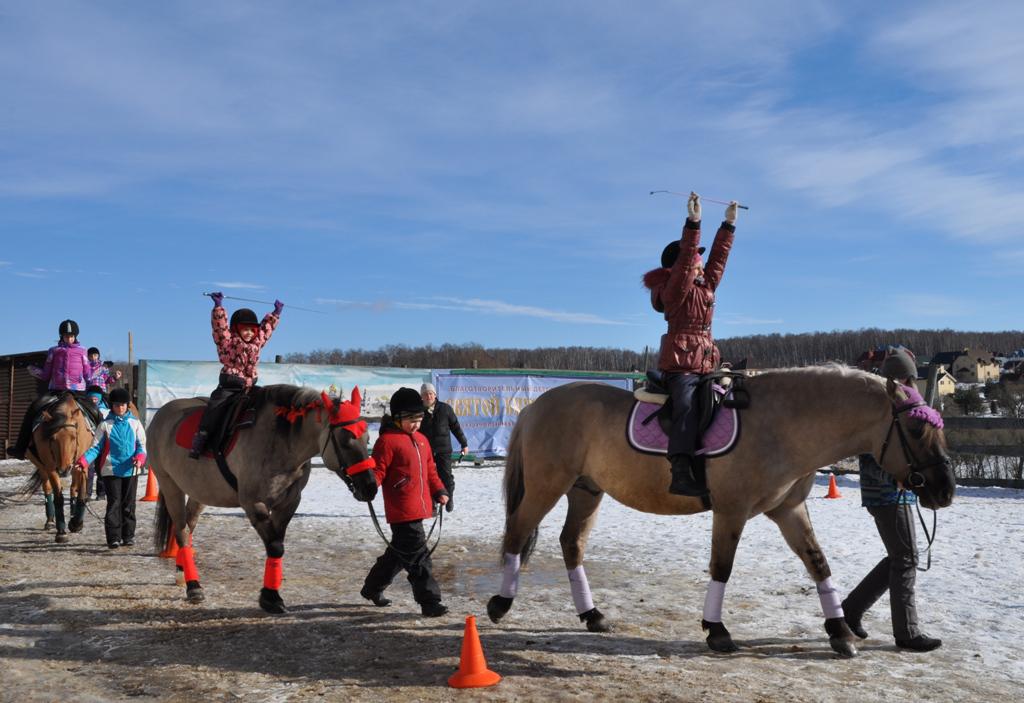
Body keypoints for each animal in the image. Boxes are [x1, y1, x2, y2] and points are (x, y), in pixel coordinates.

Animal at [20, 392, 96, 543]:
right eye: (53, 438)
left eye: (73, 437)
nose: (63, 469)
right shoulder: (50, 467)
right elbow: (58, 497)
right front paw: (61, 532)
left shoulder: (82, 464)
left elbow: (82, 492)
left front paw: (77, 523)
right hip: (41, 465)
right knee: (47, 488)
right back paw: (50, 521)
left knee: (74, 487)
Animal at [146, 385, 378, 613]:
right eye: (345, 440)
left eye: (367, 439)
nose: (370, 487)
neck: (280, 441)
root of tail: (162, 414)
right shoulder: (253, 503)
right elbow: (275, 546)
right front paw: (271, 597)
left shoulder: (288, 503)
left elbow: (277, 546)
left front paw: (271, 595)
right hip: (170, 485)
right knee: (181, 531)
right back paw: (193, 585)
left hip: (200, 491)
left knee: (189, 526)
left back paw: (182, 572)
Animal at [486, 365, 956, 658]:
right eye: (916, 428)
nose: (945, 491)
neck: (783, 425)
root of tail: (538, 405)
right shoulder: (731, 510)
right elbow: (722, 567)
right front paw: (717, 631)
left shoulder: (789, 510)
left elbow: (818, 563)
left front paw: (840, 633)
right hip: (548, 486)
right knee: (517, 533)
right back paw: (500, 604)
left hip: (586, 491)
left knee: (571, 544)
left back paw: (592, 615)